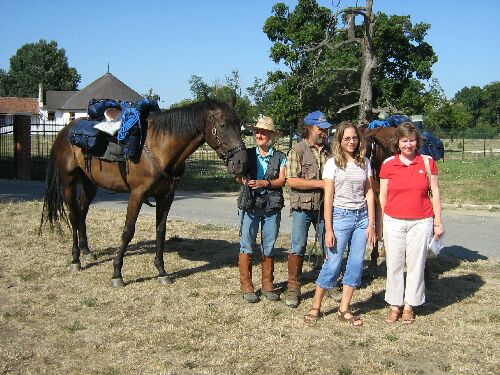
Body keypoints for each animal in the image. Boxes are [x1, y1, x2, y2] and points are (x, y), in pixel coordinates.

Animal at [40, 97, 248, 288]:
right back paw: (76, 259)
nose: (241, 162)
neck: (160, 148)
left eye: (239, 125)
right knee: (74, 215)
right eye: (223, 125)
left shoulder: (166, 196)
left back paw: (86, 251)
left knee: (82, 211)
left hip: (90, 183)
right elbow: (128, 231)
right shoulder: (137, 195)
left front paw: (162, 271)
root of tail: (64, 132)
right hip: (68, 181)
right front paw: (117, 273)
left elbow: (161, 231)